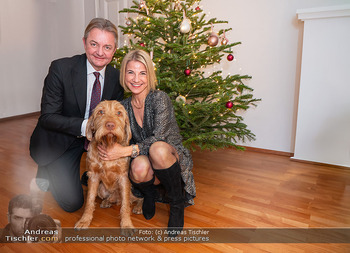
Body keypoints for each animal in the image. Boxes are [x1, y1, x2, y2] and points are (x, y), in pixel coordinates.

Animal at [75, 101, 141, 235]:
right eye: (100, 112)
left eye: (119, 113)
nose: (110, 125)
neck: (108, 145)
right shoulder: (93, 177)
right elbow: (89, 201)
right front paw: (84, 220)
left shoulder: (124, 178)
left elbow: (125, 205)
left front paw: (126, 224)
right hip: (101, 190)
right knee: (113, 199)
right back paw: (107, 201)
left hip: (132, 189)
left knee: (135, 199)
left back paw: (138, 207)